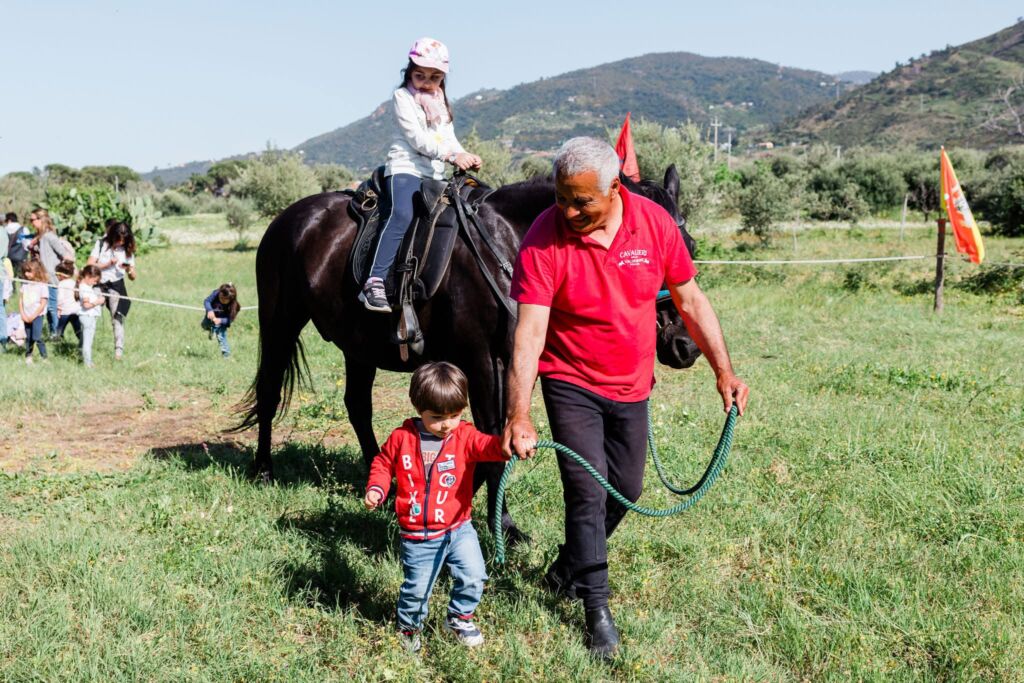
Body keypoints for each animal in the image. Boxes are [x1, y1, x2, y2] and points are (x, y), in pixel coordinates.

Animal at [237, 166, 704, 540]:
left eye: (690, 245)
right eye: (642, 250)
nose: (686, 345)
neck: (508, 245)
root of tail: (288, 219)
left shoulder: (514, 364)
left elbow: (491, 441)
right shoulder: (483, 363)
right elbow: (494, 437)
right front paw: (506, 526)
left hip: (358, 347)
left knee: (357, 406)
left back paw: (383, 488)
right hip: (280, 323)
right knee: (270, 392)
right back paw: (264, 471)